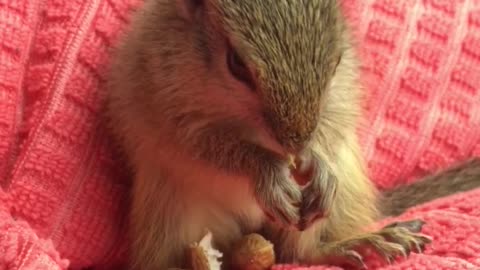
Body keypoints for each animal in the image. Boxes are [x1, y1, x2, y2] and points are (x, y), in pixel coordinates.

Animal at [103, 0, 480, 270]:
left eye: (337, 60)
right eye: (236, 64)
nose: (295, 144)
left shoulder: (342, 94)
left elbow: (333, 126)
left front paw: (318, 163)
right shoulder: (166, 99)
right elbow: (207, 147)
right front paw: (267, 171)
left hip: (329, 205)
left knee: (300, 253)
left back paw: (349, 244)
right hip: (171, 219)